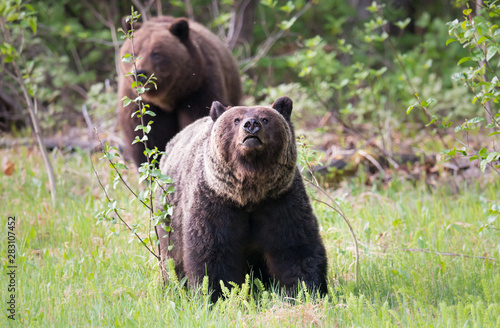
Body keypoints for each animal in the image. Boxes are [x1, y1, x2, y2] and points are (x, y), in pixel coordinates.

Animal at [118, 15, 241, 168]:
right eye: (133, 53)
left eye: (156, 54)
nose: (138, 73)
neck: (167, 98)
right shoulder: (140, 102)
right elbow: (146, 137)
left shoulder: (198, 90)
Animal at [156, 95, 328, 302]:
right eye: (236, 120)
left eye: (265, 119)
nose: (251, 125)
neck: (249, 194)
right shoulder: (215, 202)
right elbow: (212, 252)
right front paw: (216, 295)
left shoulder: (281, 200)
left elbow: (295, 246)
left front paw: (306, 291)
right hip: (168, 218)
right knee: (172, 256)